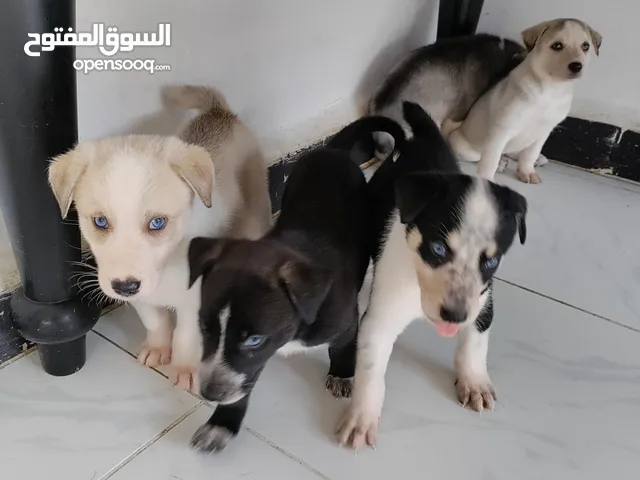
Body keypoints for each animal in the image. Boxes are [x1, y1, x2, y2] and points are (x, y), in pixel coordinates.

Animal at [47, 84, 272, 390]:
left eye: (157, 223)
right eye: (100, 221)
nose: (125, 287)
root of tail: (219, 113)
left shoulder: (194, 300)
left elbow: (186, 336)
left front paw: (185, 369)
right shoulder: (141, 296)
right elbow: (155, 320)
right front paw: (157, 349)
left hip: (255, 213)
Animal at [185, 114, 404, 452]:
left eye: (253, 339)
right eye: (205, 328)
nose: (208, 394)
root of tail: (334, 150)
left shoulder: (343, 323)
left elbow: (343, 347)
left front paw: (342, 375)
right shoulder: (248, 362)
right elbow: (242, 382)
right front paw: (222, 422)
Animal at [338, 102, 528, 450]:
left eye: (491, 261)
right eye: (438, 249)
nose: (454, 316)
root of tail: (426, 138)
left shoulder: (482, 302)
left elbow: (475, 343)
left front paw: (474, 381)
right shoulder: (380, 320)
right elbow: (371, 372)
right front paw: (361, 417)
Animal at [448, 19, 604, 184]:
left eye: (585, 46)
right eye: (557, 46)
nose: (577, 66)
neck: (551, 90)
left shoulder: (543, 132)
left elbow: (530, 154)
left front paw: (527, 171)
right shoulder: (502, 129)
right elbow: (490, 161)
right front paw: (487, 179)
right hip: (466, 148)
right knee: (485, 156)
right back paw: (501, 163)